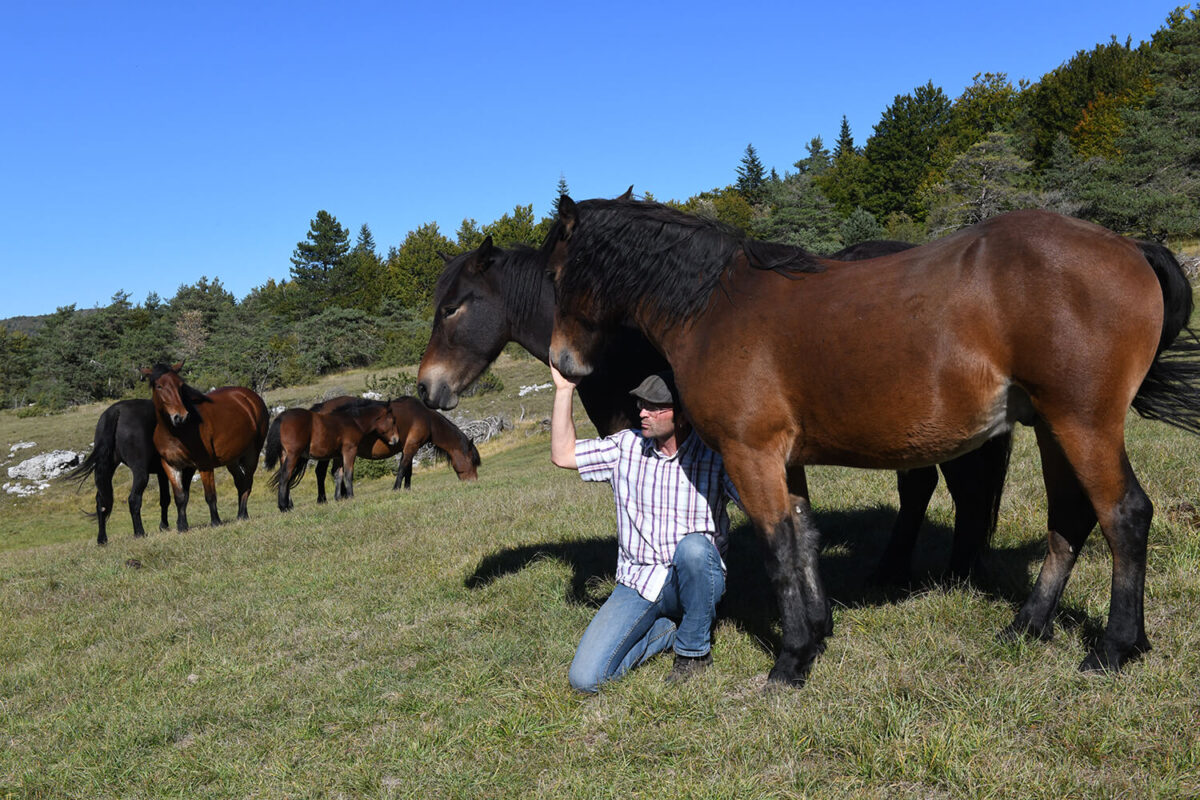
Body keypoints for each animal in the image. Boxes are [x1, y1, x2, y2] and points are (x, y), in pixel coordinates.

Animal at [65, 398, 175, 545]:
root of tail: (116, 411)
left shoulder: (162, 472)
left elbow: (165, 499)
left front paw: (164, 526)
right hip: (140, 472)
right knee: (134, 499)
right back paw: (140, 533)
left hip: (108, 467)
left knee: (101, 502)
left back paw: (102, 539)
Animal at [140, 363, 270, 531]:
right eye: (159, 386)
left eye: (180, 385)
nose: (180, 416)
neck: (175, 432)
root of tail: (251, 398)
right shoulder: (172, 466)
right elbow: (181, 497)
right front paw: (182, 526)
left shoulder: (204, 465)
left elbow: (210, 495)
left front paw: (215, 521)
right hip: (232, 460)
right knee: (240, 483)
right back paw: (242, 514)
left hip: (252, 455)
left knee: (247, 482)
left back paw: (242, 514)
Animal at [263, 398, 402, 511]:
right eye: (393, 420)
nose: (396, 439)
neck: (353, 421)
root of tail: (281, 417)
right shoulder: (349, 451)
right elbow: (348, 473)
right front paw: (350, 496)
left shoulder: (338, 455)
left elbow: (337, 474)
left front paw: (338, 498)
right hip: (293, 455)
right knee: (285, 476)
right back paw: (283, 506)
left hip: (284, 456)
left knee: (286, 477)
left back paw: (288, 505)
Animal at [309, 396, 480, 500]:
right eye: (472, 461)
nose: (474, 481)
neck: (426, 418)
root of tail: (321, 407)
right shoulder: (411, 446)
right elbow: (403, 468)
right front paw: (396, 488)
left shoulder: (409, 448)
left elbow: (408, 471)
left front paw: (407, 489)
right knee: (321, 473)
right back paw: (323, 499)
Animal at [545, 195, 1200, 686]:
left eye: (556, 274)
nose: (563, 363)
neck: (714, 309)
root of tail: (1127, 245)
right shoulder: (785, 461)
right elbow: (804, 539)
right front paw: (817, 632)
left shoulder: (750, 455)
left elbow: (778, 549)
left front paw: (791, 659)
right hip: (1053, 429)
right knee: (1069, 518)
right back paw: (1028, 625)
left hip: (1083, 424)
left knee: (1123, 516)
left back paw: (1115, 646)